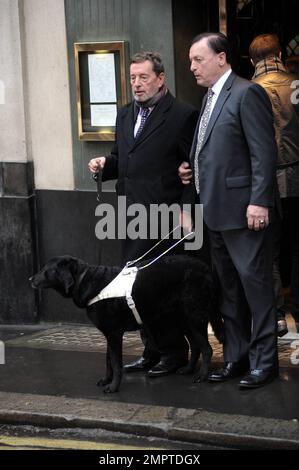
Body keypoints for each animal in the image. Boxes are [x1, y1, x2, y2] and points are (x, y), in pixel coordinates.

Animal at [30, 255, 224, 392]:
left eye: (45, 269)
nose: (30, 279)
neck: (85, 280)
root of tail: (207, 268)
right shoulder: (108, 335)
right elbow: (108, 361)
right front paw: (106, 380)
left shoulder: (115, 334)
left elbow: (116, 363)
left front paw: (113, 387)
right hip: (183, 319)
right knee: (196, 346)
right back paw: (188, 369)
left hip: (195, 316)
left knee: (207, 349)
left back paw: (201, 376)